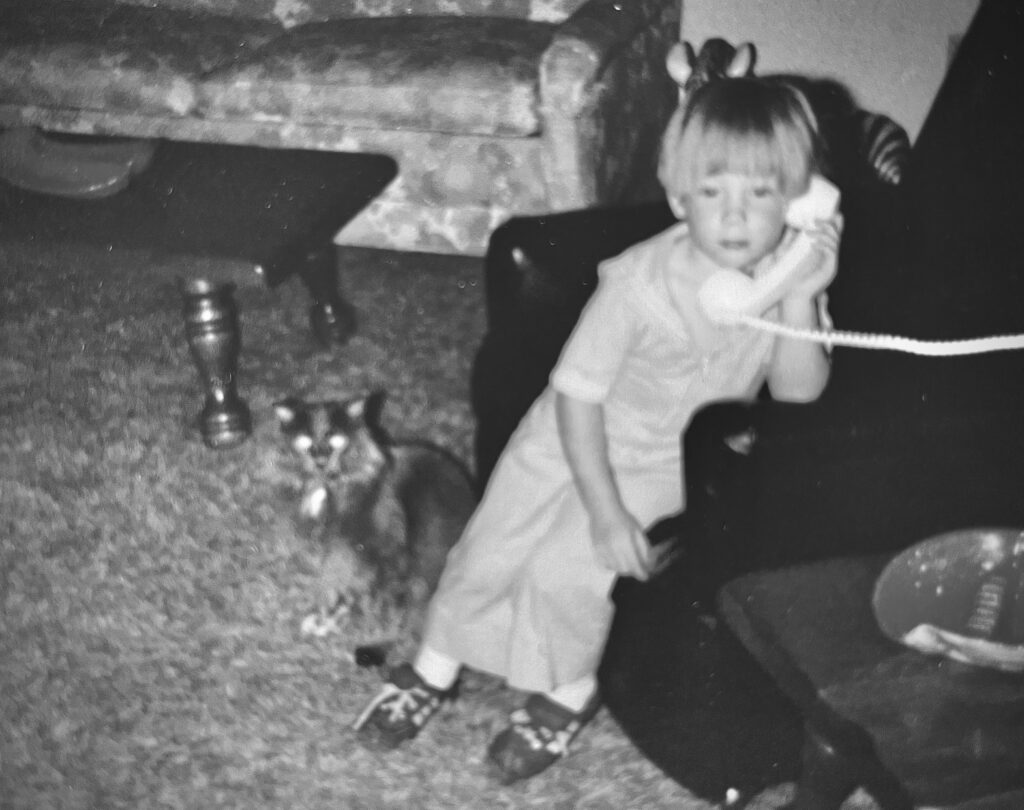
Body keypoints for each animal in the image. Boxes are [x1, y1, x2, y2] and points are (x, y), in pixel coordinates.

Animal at [274, 395, 477, 638]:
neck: (329, 483)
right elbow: (336, 582)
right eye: (307, 437)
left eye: (333, 436)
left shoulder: (372, 546)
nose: (320, 457)